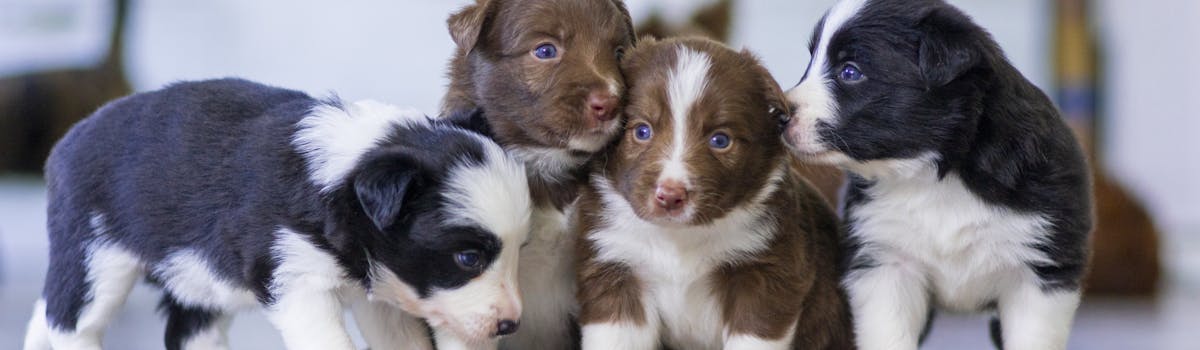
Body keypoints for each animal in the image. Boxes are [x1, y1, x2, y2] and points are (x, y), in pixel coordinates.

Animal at [21, 78, 530, 350]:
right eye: (468, 259)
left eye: (520, 251)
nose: (511, 326)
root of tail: (67, 140)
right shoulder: (296, 279)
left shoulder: (378, 294)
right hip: (96, 255)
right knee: (70, 320)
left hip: (196, 278)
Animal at [573, 37, 849, 350]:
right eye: (642, 131)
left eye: (720, 140)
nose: (670, 196)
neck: (678, 238)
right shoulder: (615, 268)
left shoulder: (765, 273)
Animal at [782, 1, 1094, 347]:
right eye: (810, 62)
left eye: (850, 72)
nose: (779, 114)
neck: (934, 176)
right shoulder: (884, 262)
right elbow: (888, 334)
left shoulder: (1040, 270)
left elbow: (1032, 337)